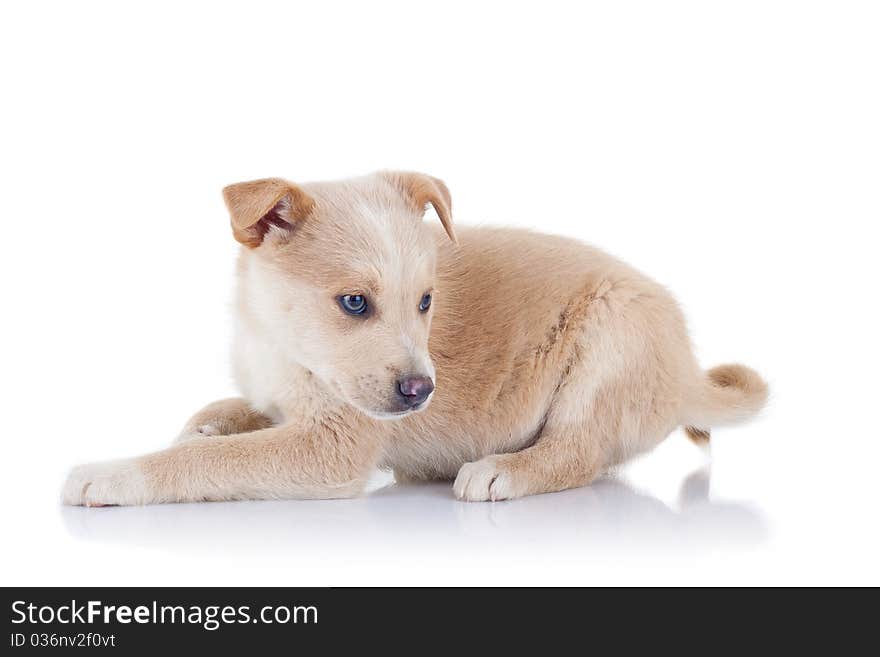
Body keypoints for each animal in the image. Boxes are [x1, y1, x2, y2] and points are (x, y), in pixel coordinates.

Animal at [62, 172, 768, 504]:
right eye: (355, 302)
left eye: (426, 302)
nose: (421, 392)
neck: (288, 344)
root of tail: (686, 375)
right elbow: (224, 421)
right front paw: (206, 423)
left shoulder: (331, 446)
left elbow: (204, 462)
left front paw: (108, 473)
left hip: (613, 333)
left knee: (577, 451)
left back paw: (503, 470)